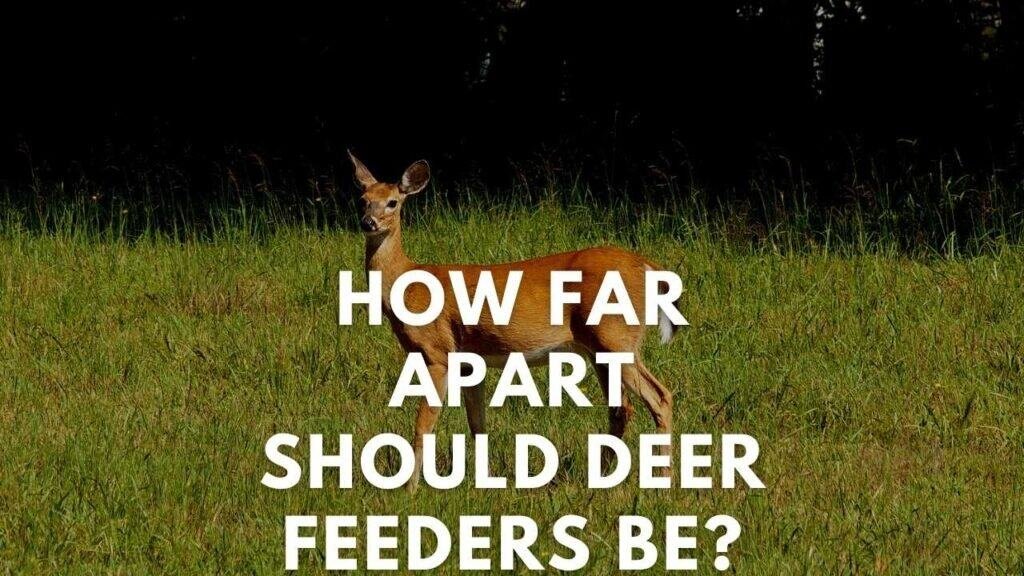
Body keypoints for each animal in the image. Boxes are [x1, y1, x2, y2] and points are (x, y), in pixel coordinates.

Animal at [348, 152, 684, 491]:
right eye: (362, 200)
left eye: (392, 202)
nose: (368, 222)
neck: (408, 284)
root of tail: (648, 266)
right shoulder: (468, 361)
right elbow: (477, 423)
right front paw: (486, 483)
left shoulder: (437, 351)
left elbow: (424, 424)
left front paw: (410, 489)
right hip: (600, 348)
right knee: (620, 409)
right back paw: (599, 480)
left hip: (616, 339)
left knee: (660, 397)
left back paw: (661, 483)